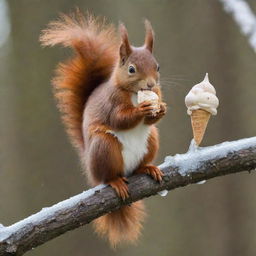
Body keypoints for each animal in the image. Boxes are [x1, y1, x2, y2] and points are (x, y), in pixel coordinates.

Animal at [40, 11, 167, 247]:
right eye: (131, 69)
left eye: (158, 66)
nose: (151, 85)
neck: (134, 94)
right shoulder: (112, 103)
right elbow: (119, 119)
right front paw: (142, 110)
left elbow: (152, 120)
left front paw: (160, 109)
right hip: (104, 147)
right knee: (107, 176)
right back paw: (115, 182)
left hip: (151, 141)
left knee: (139, 164)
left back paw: (147, 168)